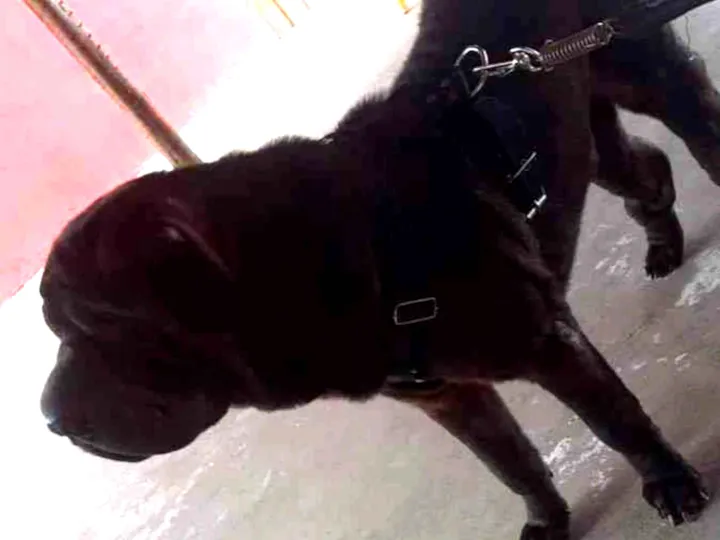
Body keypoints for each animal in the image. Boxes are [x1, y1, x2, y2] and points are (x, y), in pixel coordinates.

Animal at [39, 1, 720, 538]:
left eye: (96, 326)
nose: (48, 417)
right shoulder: (447, 395)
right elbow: (509, 460)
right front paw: (547, 519)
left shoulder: (545, 345)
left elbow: (616, 422)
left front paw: (668, 481)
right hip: (581, 139)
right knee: (643, 170)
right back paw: (662, 244)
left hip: (650, 74)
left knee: (695, 131)